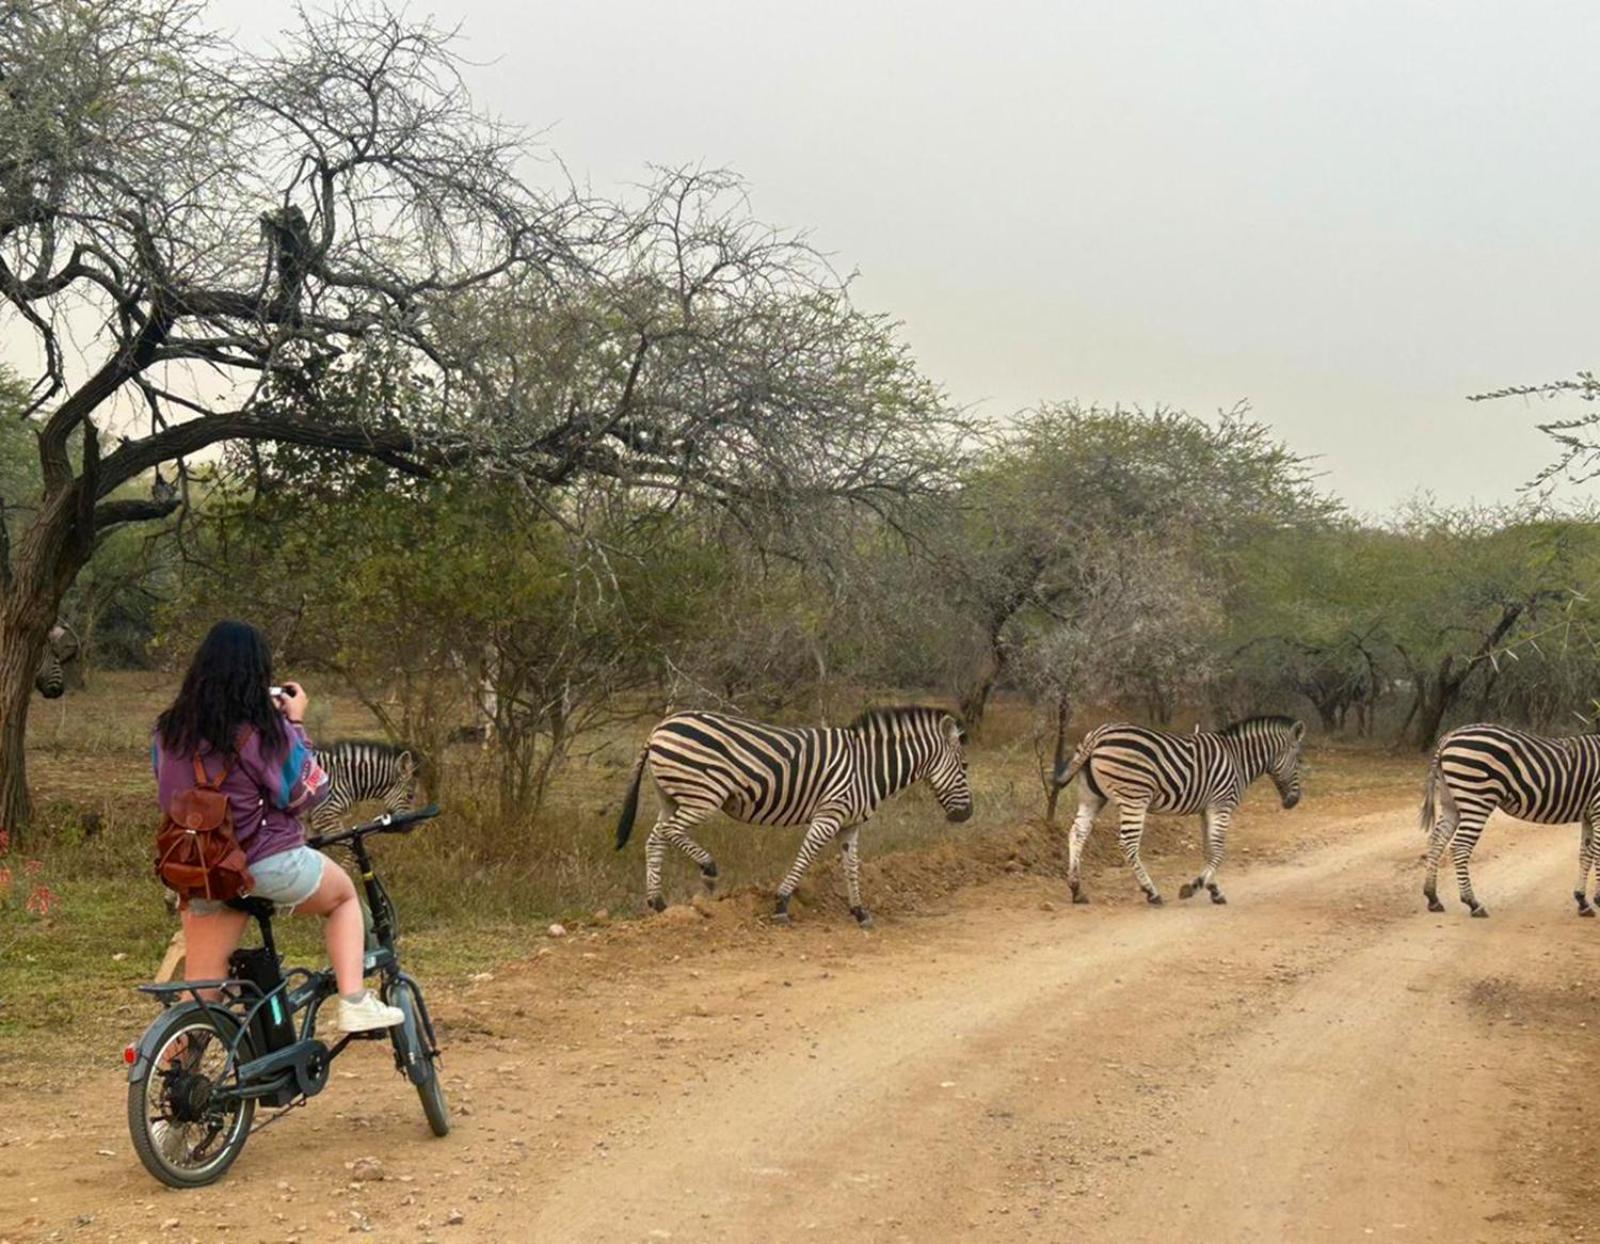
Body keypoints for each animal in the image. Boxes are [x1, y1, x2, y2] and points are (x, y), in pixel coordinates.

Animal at [614, 703, 972, 927]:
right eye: (965, 767)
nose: (967, 815)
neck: (868, 768)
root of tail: (660, 727)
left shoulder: (850, 825)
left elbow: (852, 867)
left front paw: (859, 911)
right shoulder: (829, 814)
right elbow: (805, 857)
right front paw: (782, 904)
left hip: (671, 797)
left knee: (655, 839)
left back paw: (658, 903)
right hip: (702, 795)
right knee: (670, 833)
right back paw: (708, 870)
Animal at [1056, 716, 1305, 901]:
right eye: (1299, 760)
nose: (1293, 801)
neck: (1238, 759)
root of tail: (1098, 734)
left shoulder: (1207, 807)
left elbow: (1209, 849)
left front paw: (1213, 889)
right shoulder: (1222, 804)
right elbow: (1219, 850)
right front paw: (1195, 886)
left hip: (1092, 796)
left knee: (1077, 833)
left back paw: (1076, 889)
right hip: (1134, 798)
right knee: (1128, 844)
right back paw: (1151, 892)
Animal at [1420, 722, 1600, 914]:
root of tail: (1450, 736)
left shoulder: (1589, 815)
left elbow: (1585, 854)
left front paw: (1582, 900)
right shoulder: (1597, 809)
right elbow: (1596, 853)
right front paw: (1596, 898)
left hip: (1450, 802)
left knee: (1436, 840)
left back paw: (1432, 898)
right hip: (1476, 798)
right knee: (1460, 846)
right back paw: (1473, 903)